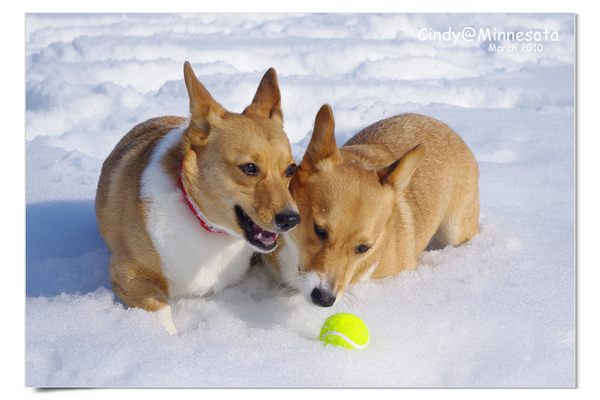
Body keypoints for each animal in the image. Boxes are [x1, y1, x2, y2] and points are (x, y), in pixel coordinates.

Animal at [95, 62, 300, 332]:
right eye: (249, 168)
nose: (292, 220)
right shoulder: (128, 274)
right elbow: (161, 311)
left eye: (291, 169)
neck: (207, 226)